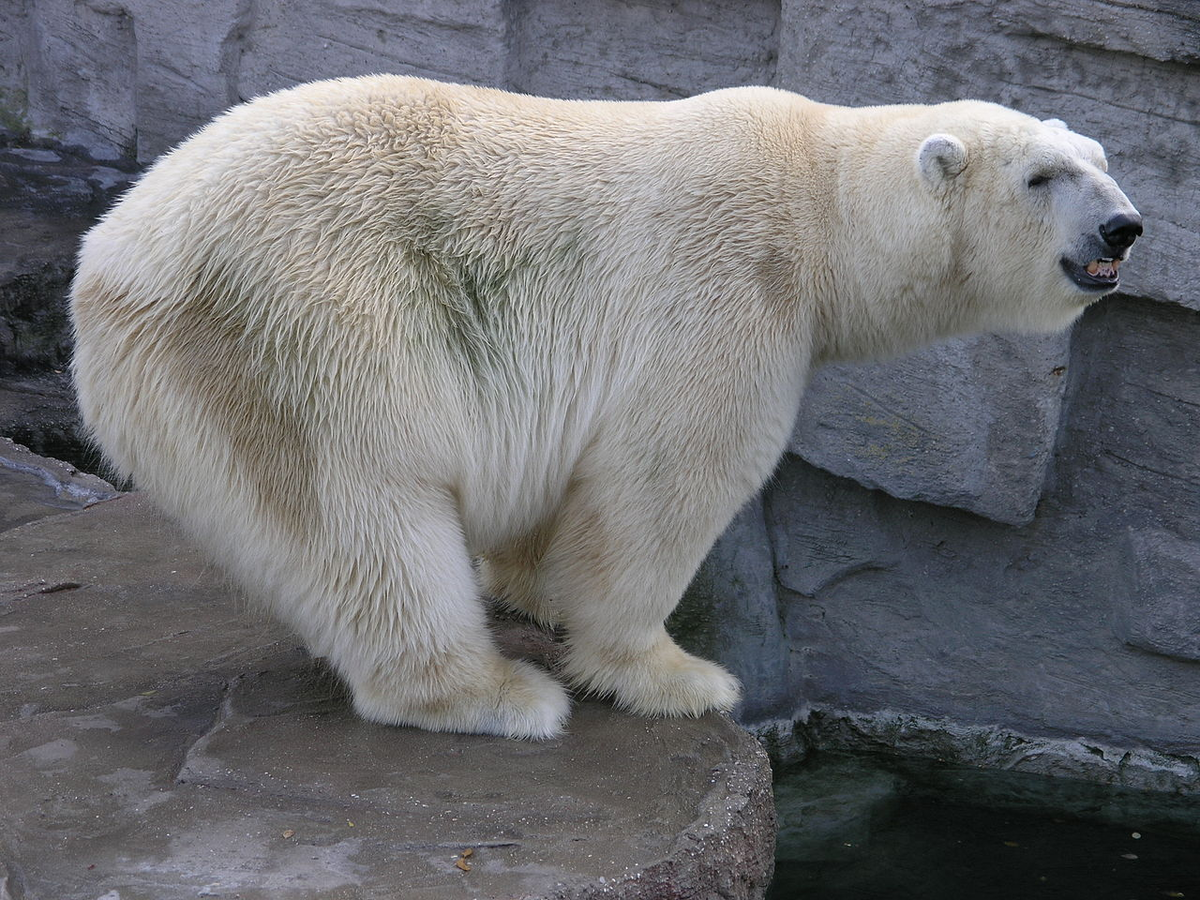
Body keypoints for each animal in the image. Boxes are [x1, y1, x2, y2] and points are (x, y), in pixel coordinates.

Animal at [68, 77, 1142, 739]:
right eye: (1043, 176)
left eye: (1101, 157)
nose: (1125, 226)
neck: (819, 200)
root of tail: (112, 261)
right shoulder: (728, 287)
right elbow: (666, 480)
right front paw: (679, 677)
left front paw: (533, 585)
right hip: (297, 333)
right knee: (361, 511)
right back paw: (495, 695)